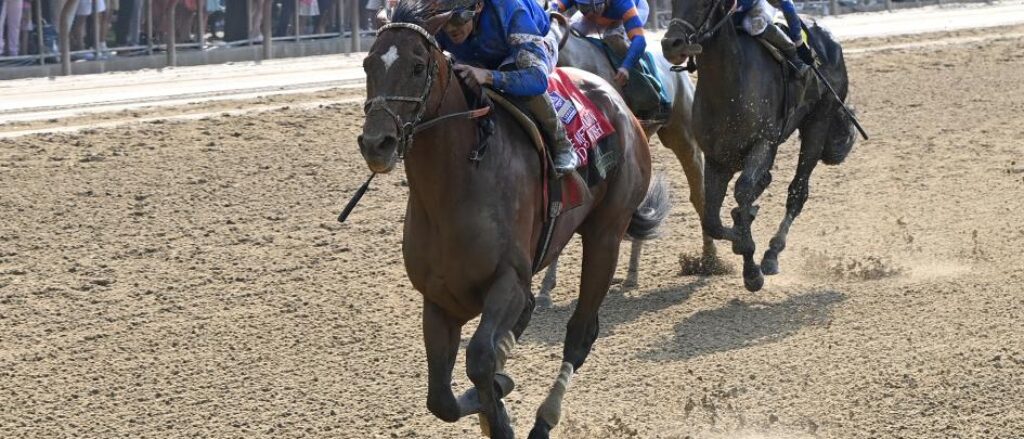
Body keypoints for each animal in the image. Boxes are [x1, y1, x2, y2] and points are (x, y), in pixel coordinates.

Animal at [360, 2, 671, 433]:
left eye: (418, 66)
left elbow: (480, 358)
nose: (376, 143)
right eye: (368, 64)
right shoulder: (439, 299)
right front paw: (495, 396)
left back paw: (544, 419)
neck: (455, 188)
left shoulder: (508, 279)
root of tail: (619, 102)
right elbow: (441, 399)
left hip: (606, 234)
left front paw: (500, 409)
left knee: (580, 334)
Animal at [655, 0, 856, 290]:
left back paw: (772, 252)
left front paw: (750, 266)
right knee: (765, 182)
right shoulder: (717, 158)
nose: (671, 44)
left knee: (797, 192)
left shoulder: (763, 143)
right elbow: (712, 220)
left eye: (704, 3)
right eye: (672, 3)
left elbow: (743, 189)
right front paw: (740, 235)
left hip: (818, 122)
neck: (728, 86)